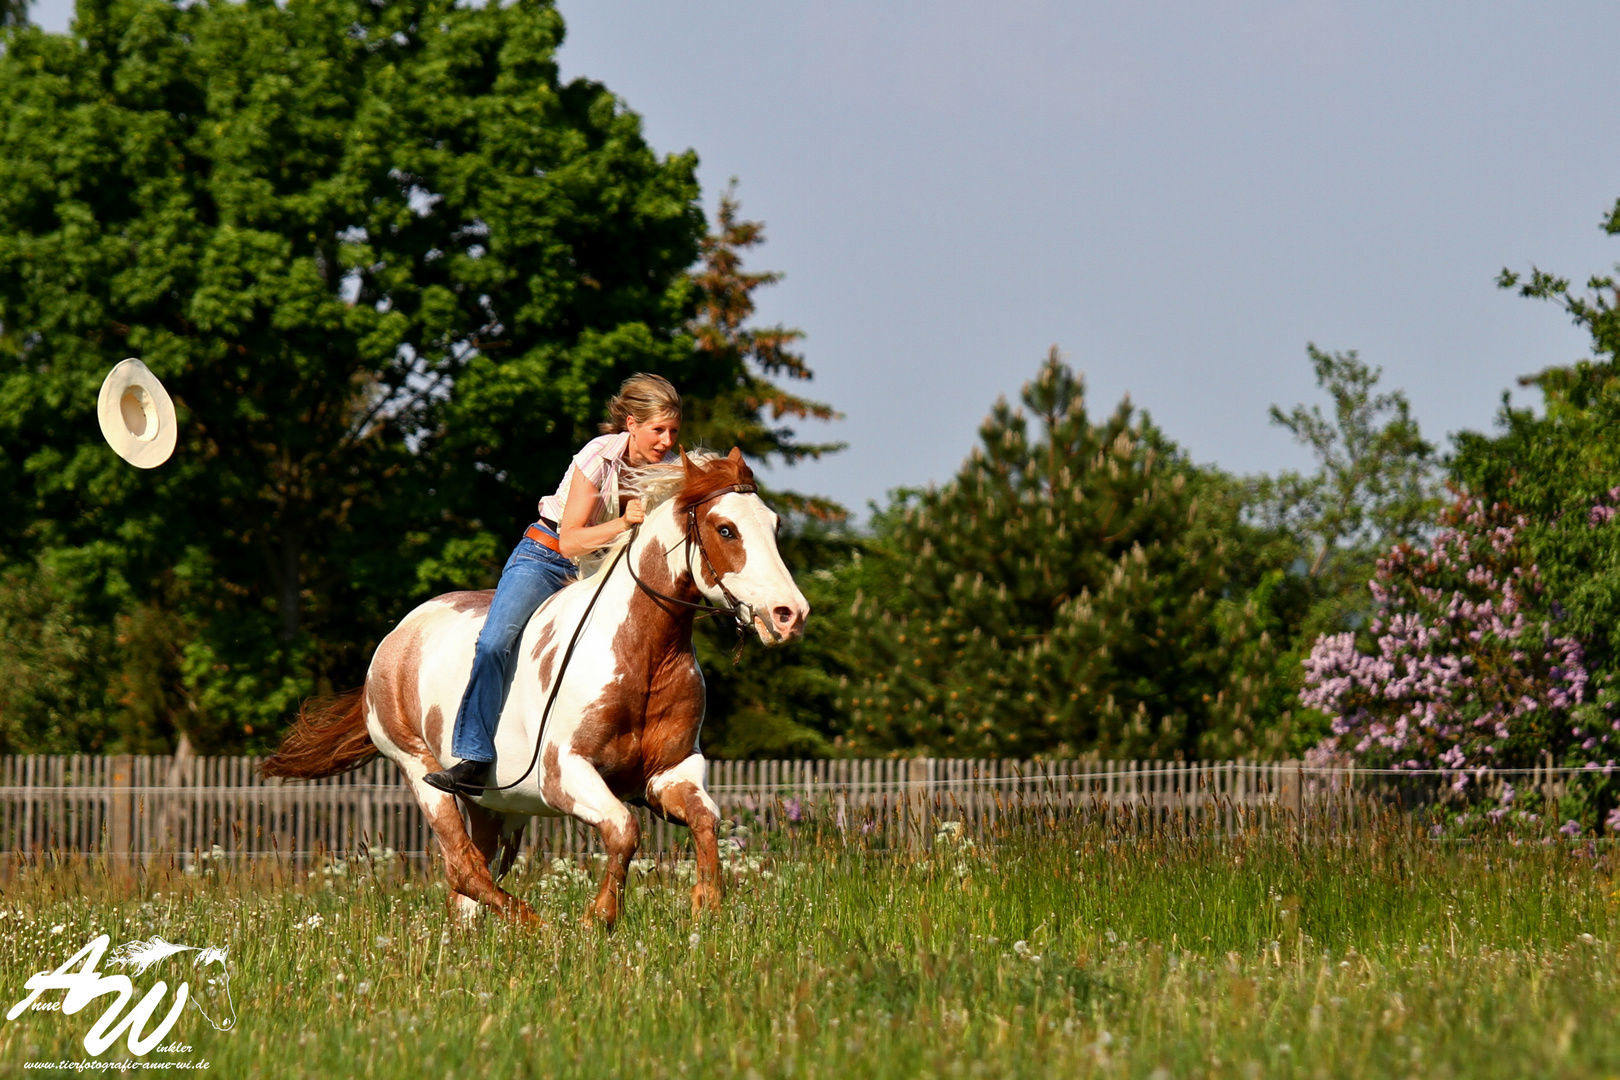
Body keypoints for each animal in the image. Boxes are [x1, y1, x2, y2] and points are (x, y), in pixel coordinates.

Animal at [262, 446, 810, 932]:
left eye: (775, 526)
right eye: (726, 528)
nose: (790, 614)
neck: (643, 652)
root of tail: (395, 639)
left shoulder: (672, 772)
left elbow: (706, 820)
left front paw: (706, 907)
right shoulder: (563, 772)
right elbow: (623, 829)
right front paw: (597, 919)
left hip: (490, 804)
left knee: (469, 882)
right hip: (421, 772)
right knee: (464, 868)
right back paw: (537, 926)